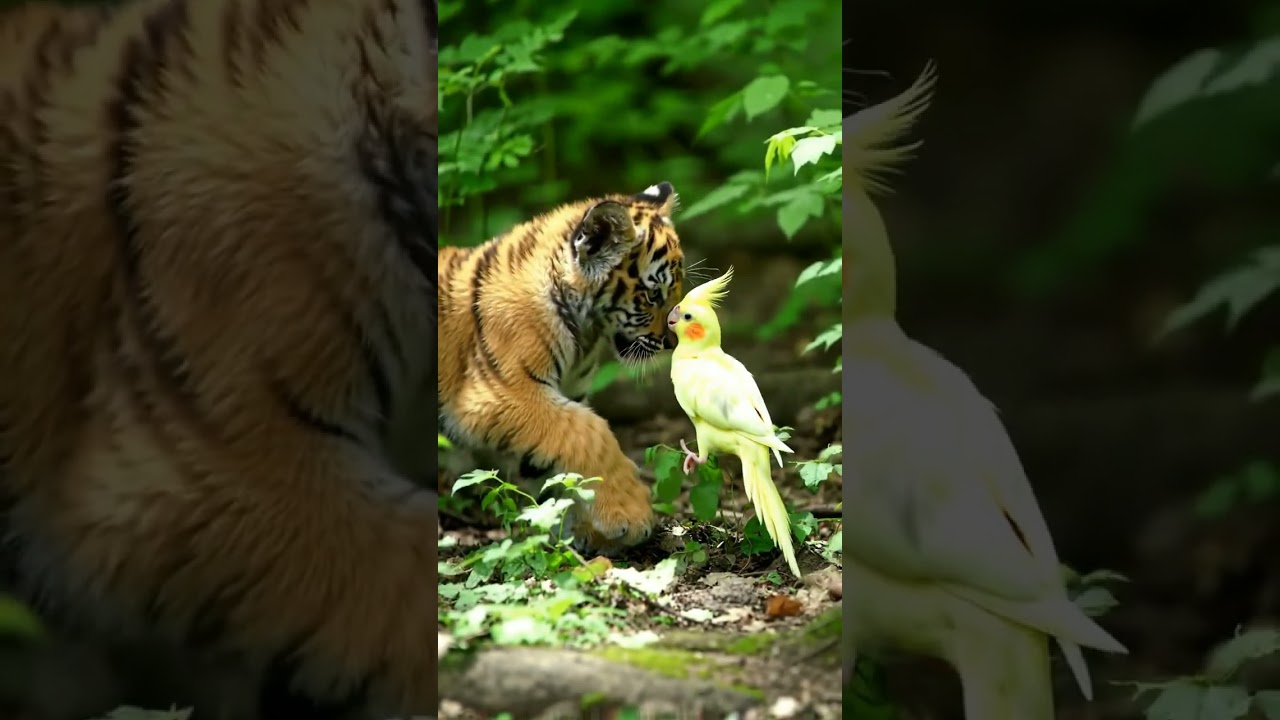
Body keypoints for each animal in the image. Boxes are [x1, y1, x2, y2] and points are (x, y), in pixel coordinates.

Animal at [437, 182, 685, 556]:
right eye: (653, 295)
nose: (673, 342)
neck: (586, 332)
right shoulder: (497, 396)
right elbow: (589, 432)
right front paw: (629, 513)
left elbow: (551, 469)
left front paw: (577, 533)